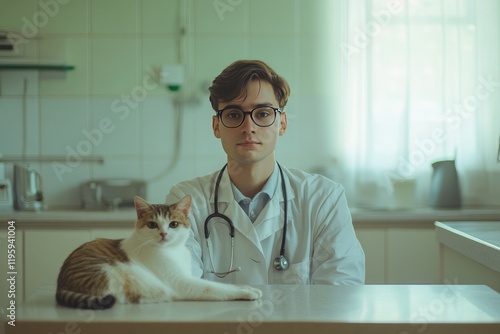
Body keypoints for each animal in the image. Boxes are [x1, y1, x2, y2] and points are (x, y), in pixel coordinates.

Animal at [55, 194, 262, 310]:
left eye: (174, 224)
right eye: (152, 225)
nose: (163, 233)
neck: (173, 251)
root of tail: (60, 284)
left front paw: (247, 287)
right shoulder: (182, 282)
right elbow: (216, 288)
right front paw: (246, 291)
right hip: (111, 274)